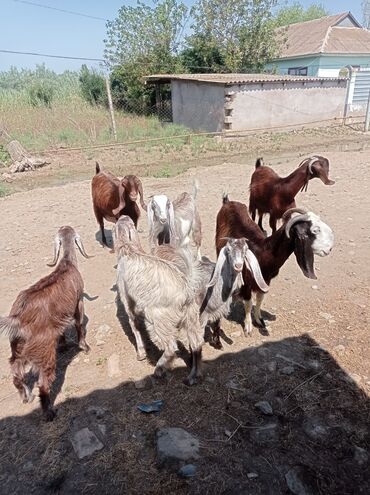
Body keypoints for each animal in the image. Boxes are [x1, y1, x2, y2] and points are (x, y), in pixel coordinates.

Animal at [0, 227, 91, 420]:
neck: (67, 264)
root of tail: (19, 318)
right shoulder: (79, 302)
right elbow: (79, 324)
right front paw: (84, 346)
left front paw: (63, 345)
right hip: (44, 352)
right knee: (43, 384)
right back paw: (49, 412)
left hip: (18, 350)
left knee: (16, 374)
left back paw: (26, 397)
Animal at [113, 217, 204, 388]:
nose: (123, 217)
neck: (129, 249)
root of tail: (185, 288)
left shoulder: (127, 299)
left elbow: (134, 325)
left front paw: (141, 353)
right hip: (191, 317)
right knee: (197, 344)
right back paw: (192, 377)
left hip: (158, 320)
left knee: (171, 347)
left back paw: (159, 369)